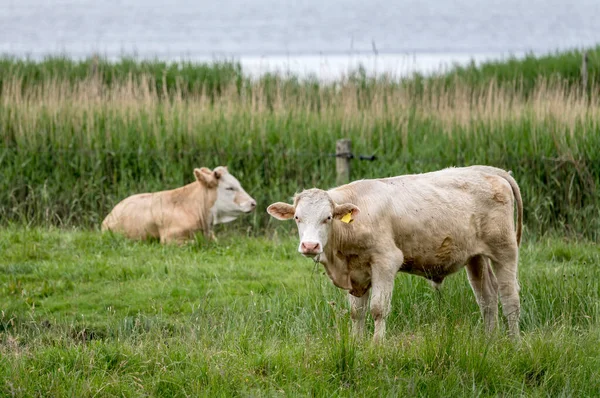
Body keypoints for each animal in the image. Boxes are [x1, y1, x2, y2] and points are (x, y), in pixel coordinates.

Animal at [270, 165, 524, 342]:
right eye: (297, 218)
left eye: (328, 217)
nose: (310, 246)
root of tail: (486, 170)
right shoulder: (356, 272)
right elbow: (356, 312)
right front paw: (355, 344)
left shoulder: (386, 261)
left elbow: (378, 309)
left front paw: (377, 345)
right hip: (475, 257)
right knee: (487, 298)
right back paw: (489, 341)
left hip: (505, 250)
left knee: (509, 297)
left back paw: (514, 343)